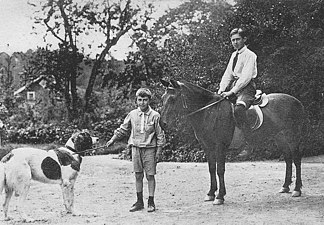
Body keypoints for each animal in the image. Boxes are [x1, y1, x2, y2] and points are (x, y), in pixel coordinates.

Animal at [159, 79, 308, 206]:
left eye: (172, 99)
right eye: (162, 98)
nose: (162, 123)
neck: (210, 111)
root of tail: (297, 102)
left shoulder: (220, 147)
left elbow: (220, 170)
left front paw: (220, 196)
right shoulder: (208, 147)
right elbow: (211, 169)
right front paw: (211, 193)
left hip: (292, 137)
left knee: (296, 160)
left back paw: (297, 189)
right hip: (280, 138)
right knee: (288, 160)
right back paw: (285, 187)